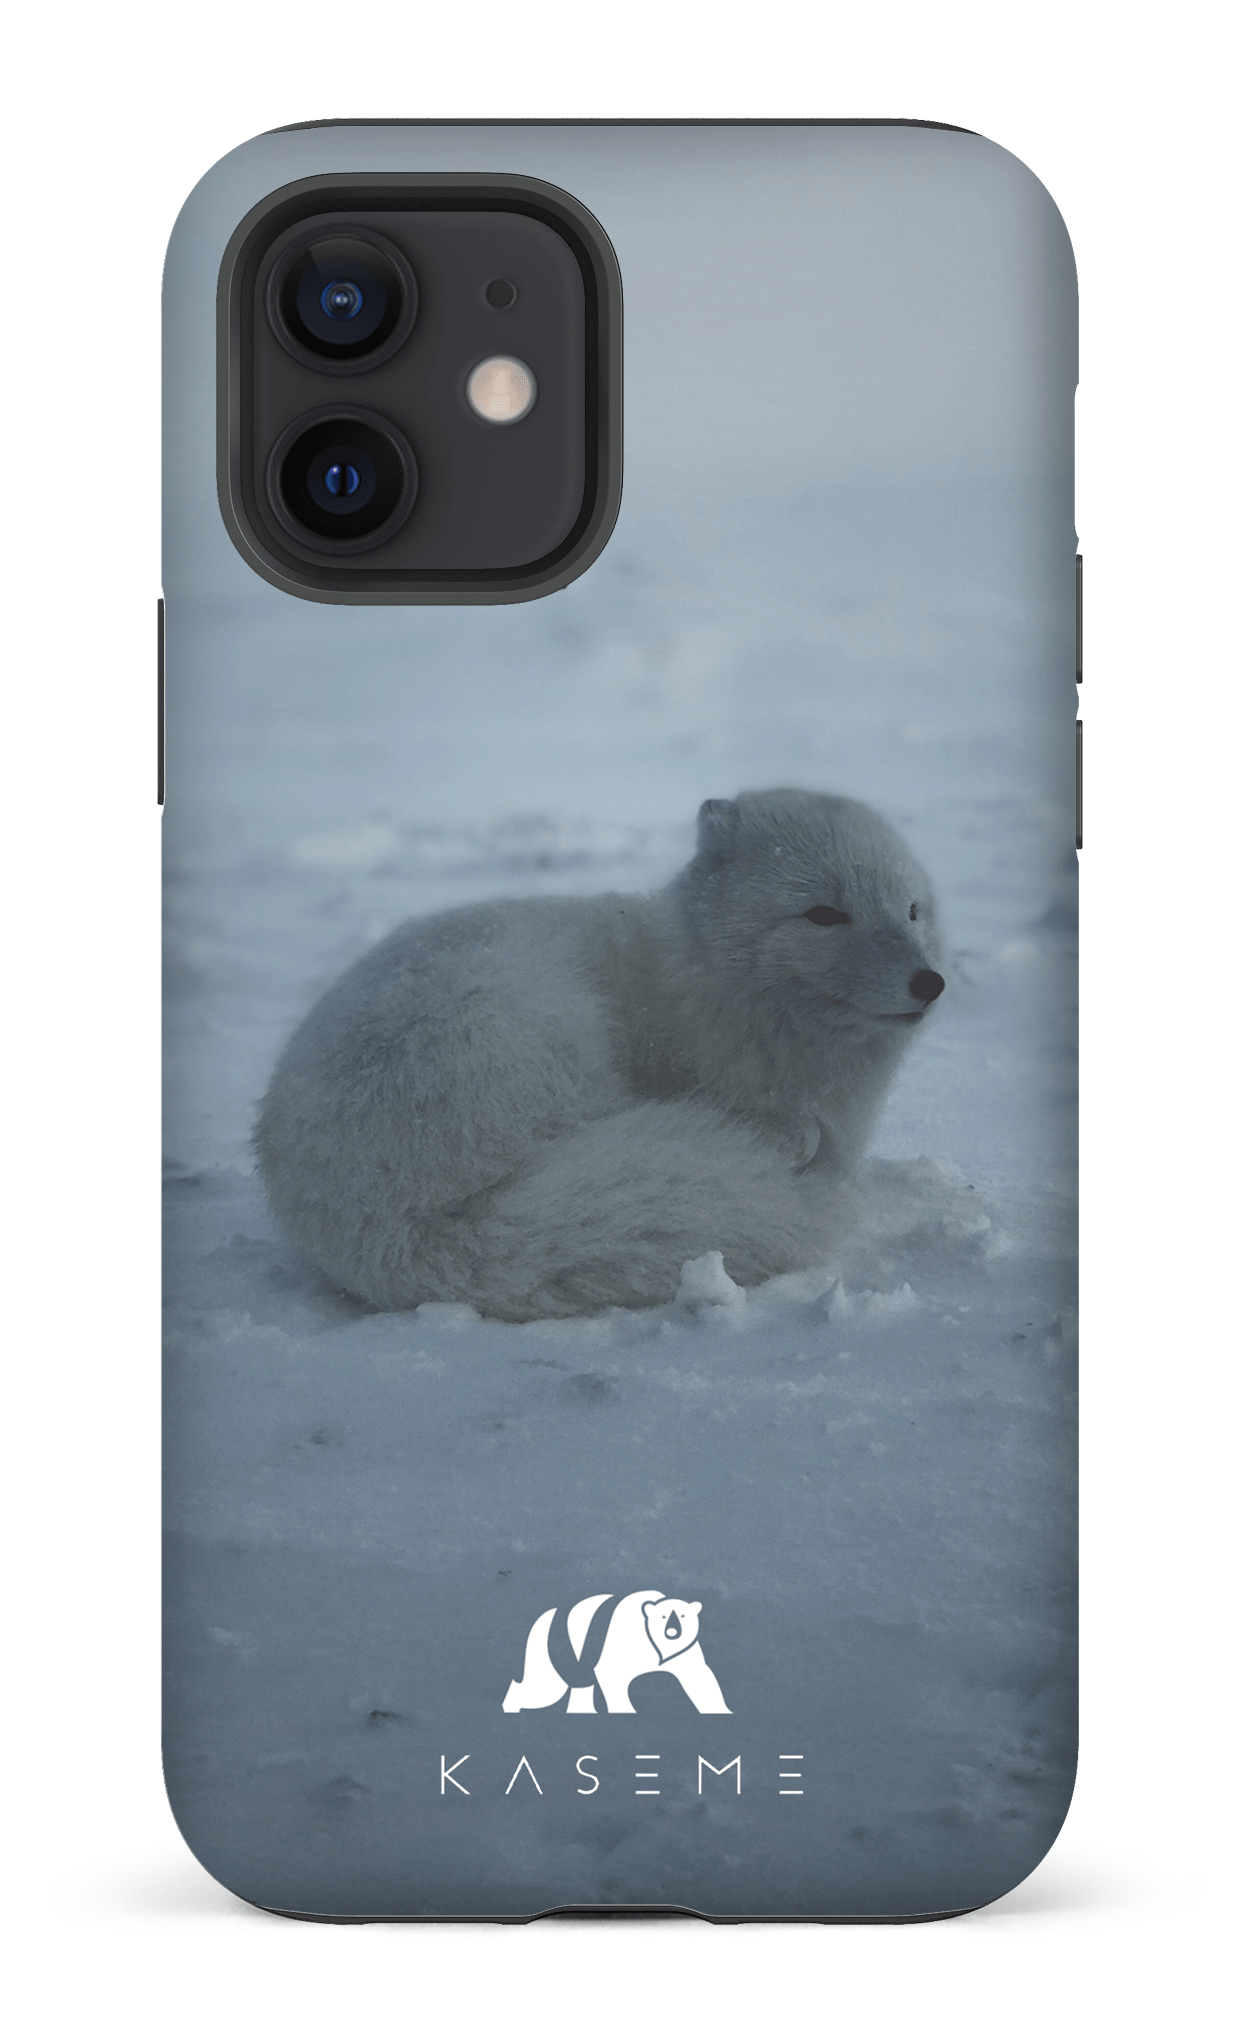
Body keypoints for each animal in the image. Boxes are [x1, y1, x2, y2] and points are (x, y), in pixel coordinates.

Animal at [255, 789, 945, 1319]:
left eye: (911, 910)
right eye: (824, 914)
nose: (930, 982)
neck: (702, 984)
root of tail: (394, 1231)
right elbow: (797, 1130)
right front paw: (790, 1138)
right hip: (533, 1029)